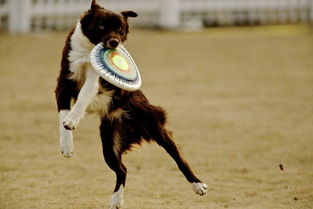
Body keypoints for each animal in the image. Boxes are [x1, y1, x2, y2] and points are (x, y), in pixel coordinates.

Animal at [54, 0, 206, 208]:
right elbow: (64, 114)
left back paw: (198, 185)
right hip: (109, 142)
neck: (88, 50)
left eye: (120, 29)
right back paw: (116, 200)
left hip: (155, 127)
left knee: (179, 158)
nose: (114, 43)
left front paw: (72, 120)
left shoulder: (94, 79)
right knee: (122, 170)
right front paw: (67, 144)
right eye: (101, 26)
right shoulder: (64, 83)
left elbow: (84, 96)